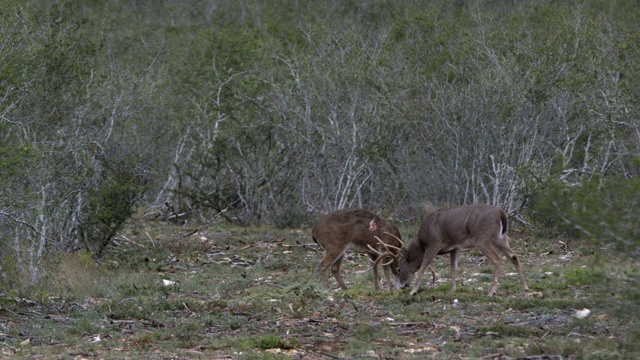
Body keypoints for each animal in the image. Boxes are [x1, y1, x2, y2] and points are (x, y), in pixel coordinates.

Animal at [392, 204, 528, 296]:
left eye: (399, 268)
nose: (403, 286)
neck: (421, 243)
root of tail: (501, 213)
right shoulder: (456, 247)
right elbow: (453, 267)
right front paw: (452, 290)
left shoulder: (434, 243)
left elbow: (423, 267)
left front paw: (413, 291)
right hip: (500, 238)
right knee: (513, 256)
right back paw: (525, 288)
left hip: (482, 239)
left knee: (497, 258)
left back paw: (492, 291)